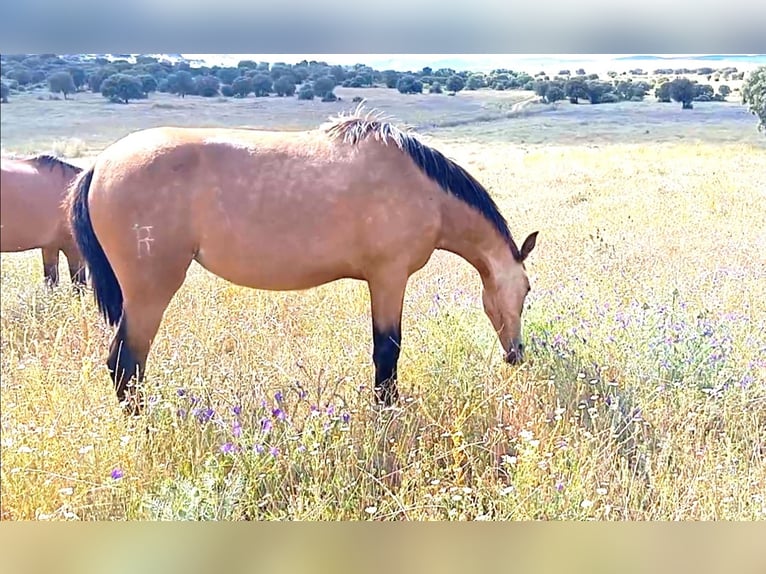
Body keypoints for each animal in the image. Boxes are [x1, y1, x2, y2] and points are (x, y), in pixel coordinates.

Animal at [67, 109, 540, 414]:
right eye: (527, 288)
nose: (516, 354)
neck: (423, 188)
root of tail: (99, 165)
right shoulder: (389, 278)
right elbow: (387, 353)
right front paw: (387, 417)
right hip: (150, 292)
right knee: (126, 365)